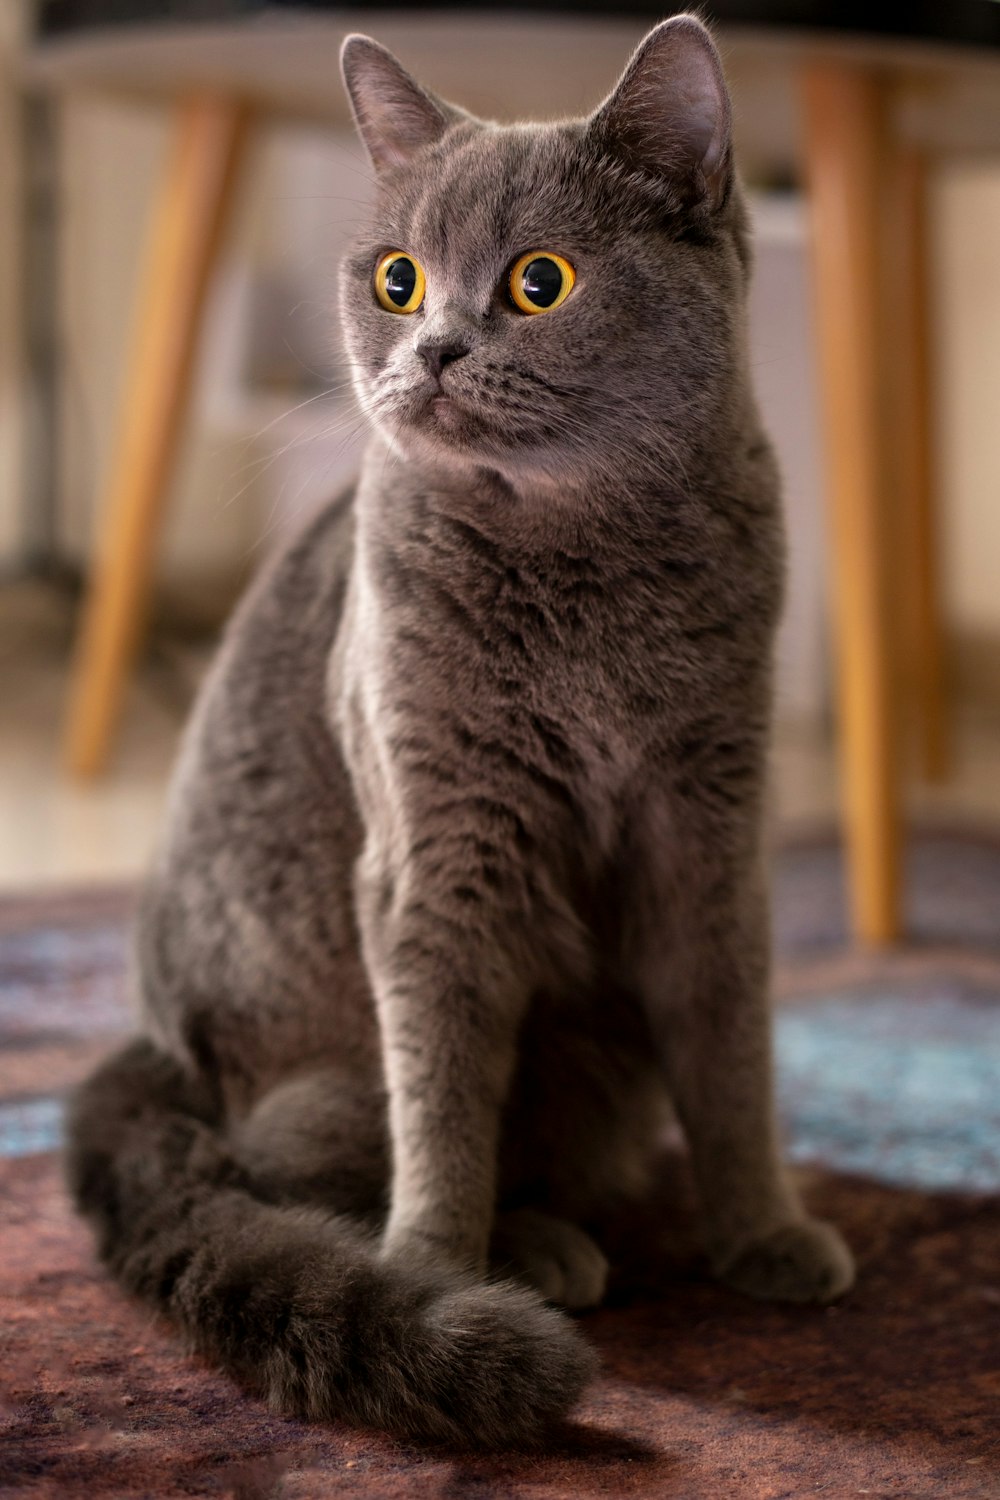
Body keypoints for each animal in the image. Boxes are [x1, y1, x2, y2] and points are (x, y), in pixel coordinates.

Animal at [68, 8, 851, 1440]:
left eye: (540, 282)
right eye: (396, 280)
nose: (429, 347)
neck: (585, 581)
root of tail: (147, 1050)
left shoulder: (711, 826)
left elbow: (730, 1048)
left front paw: (763, 1233)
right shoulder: (437, 851)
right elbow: (441, 1091)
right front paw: (432, 1279)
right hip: (317, 1068)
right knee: (284, 1169)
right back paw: (527, 1253)